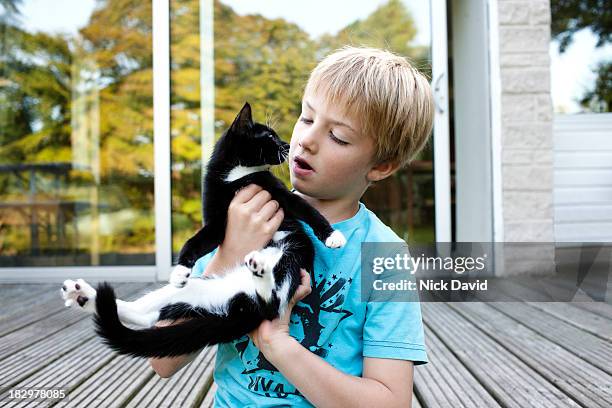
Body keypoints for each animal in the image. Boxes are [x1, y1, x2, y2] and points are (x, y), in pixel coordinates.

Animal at [61, 103, 344, 358]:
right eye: (270, 136)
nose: (288, 144)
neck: (235, 176)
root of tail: (243, 302)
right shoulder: (217, 218)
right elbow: (197, 240)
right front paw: (181, 269)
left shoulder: (277, 193)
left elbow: (308, 210)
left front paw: (332, 236)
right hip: (196, 293)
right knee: (148, 315)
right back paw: (84, 295)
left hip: (289, 260)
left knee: (272, 303)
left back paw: (259, 268)